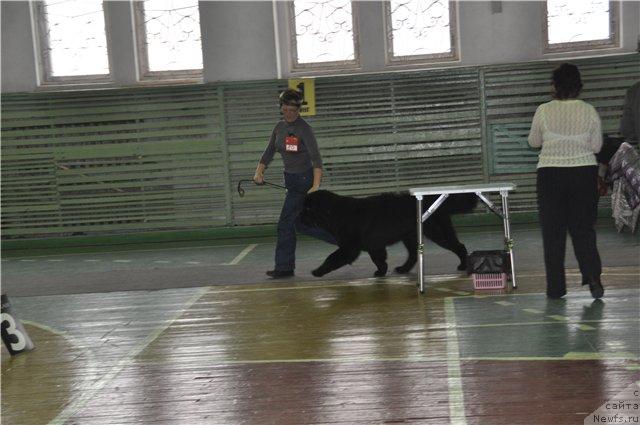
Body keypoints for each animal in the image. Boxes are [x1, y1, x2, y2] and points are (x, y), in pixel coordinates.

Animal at [302, 190, 478, 276]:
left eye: (308, 208)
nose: (298, 216)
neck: (336, 213)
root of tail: (433, 199)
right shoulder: (373, 244)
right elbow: (378, 259)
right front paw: (381, 272)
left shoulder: (349, 247)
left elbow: (332, 257)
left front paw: (317, 271)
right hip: (410, 236)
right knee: (413, 254)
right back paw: (403, 269)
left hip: (437, 232)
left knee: (459, 246)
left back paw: (463, 265)